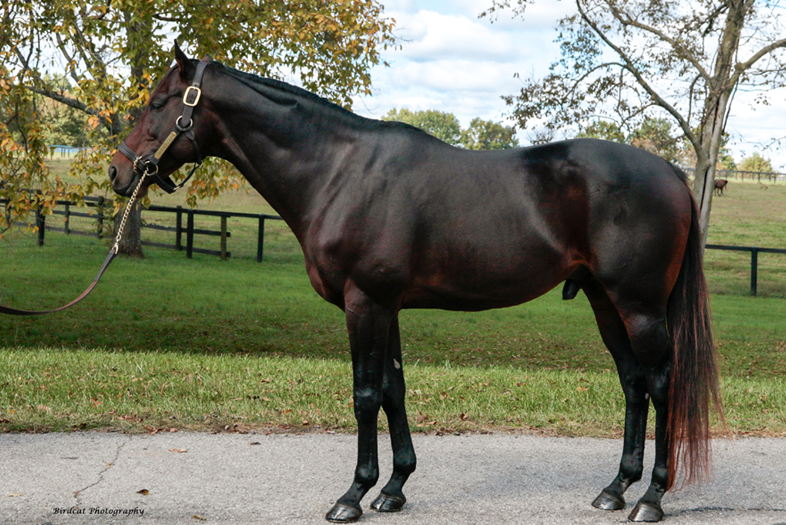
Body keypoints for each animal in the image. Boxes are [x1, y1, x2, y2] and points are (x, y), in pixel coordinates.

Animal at [107, 44, 720, 520]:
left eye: (158, 104)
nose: (117, 171)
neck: (339, 172)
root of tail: (671, 172)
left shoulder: (365, 303)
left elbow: (364, 395)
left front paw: (352, 495)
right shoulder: (386, 306)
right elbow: (393, 391)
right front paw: (394, 488)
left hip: (639, 306)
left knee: (661, 384)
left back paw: (652, 499)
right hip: (603, 301)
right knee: (633, 383)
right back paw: (616, 490)